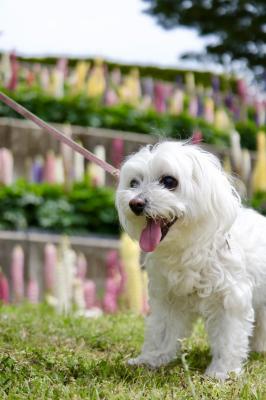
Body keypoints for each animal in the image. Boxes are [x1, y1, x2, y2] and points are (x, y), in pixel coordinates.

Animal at [115, 141, 266, 382]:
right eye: (133, 182)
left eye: (169, 181)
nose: (135, 203)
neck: (186, 247)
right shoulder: (167, 297)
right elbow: (162, 331)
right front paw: (150, 359)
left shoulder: (229, 298)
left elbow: (228, 338)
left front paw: (221, 372)